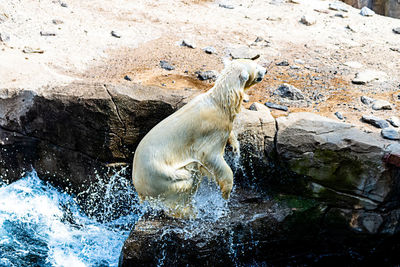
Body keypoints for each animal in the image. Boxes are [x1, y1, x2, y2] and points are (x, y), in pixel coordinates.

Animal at [133, 59, 268, 219]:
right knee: (186, 180)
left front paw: (235, 146)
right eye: (256, 66)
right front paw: (226, 192)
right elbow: (211, 156)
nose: (265, 70)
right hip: (161, 175)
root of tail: (139, 187)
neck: (221, 102)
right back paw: (188, 211)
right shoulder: (212, 130)